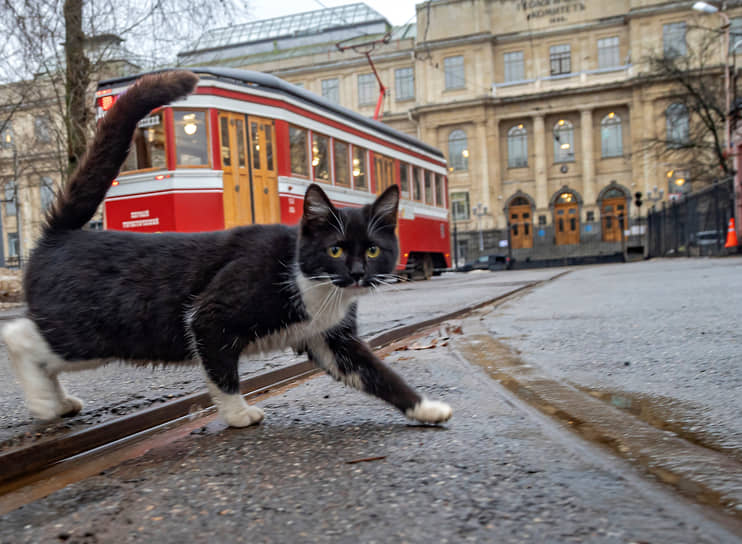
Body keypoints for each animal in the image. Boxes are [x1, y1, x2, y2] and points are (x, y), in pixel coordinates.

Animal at [1, 70, 454, 430]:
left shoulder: (333, 342)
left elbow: (378, 375)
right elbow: (221, 370)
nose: (358, 273)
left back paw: (59, 402)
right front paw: (238, 414)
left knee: (43, 353)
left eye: (373, 251)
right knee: (21, 337)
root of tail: (59, 235)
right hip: (92, 331)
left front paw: (425, 408)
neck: (312, 285)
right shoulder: (210, 316)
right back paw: (43, 403)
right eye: (336, 250)